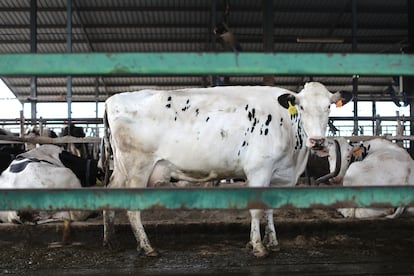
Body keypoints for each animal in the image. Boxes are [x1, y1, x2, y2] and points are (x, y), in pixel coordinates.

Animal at [102, 81, 350, 256]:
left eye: (328, 107)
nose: (317, 141)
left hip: (122, 169)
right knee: (132, 209)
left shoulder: (279, 176)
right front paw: (258, 246)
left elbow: (270, 209)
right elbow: (256, 209)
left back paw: (111, 241)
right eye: (301, 107)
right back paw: (147, 247)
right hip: (138, 168)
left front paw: (272, 242)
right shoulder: (259, 170)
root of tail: (112, 99)